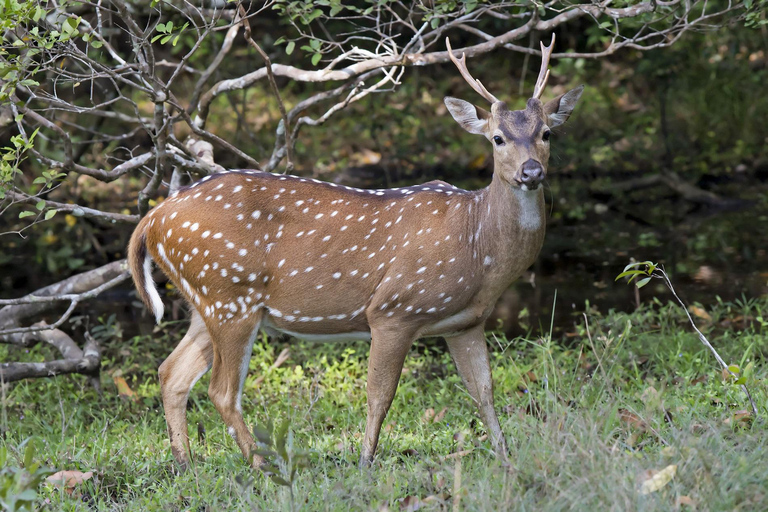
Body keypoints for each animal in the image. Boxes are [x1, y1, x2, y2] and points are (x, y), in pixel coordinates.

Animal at [126, 34, 584, 470]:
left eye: (546, 133)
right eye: (497, 138)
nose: (531, 171)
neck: (477, 249)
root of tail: (152, 218)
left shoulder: (465, 323)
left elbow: (484, 391)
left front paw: (506, 459)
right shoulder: (393, 309)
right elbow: (380, 395)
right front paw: (365, 463)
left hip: (207, 302)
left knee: (172, 373)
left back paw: (186, 464)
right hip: (229, 297)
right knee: (221, 390)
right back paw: (260, 465)